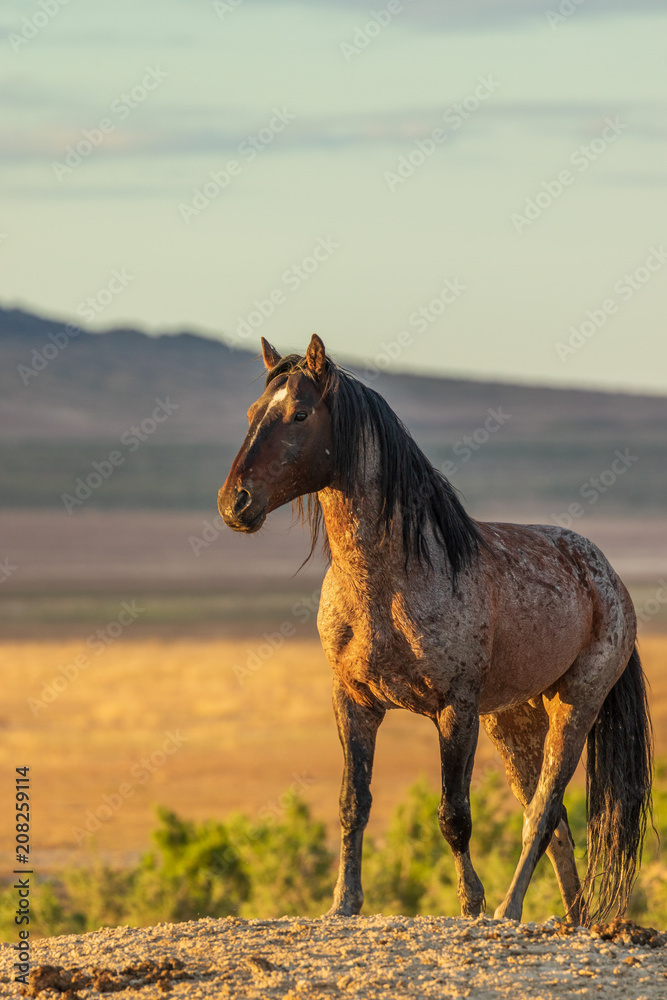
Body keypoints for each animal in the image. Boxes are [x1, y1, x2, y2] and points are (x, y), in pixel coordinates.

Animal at [218, 333, 653, 925]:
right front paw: (343, 903)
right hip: (514, 718)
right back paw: (571, 918)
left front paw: (471, 904)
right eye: (251, 412)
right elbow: (353, 803)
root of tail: (606, 574)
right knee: (555, 818)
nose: (234, 503)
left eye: (300, 413)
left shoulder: (455, 710)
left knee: (542, 811)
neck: (388, 582)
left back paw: (507, 910)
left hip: (575, 704)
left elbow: (454, 815)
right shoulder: (353, 701)